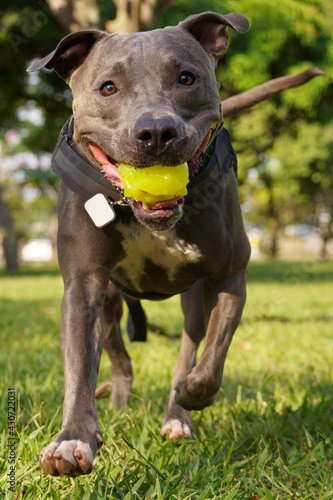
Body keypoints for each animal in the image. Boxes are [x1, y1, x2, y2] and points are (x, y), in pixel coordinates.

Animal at [28, 11, 252, 476]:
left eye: (186, 78)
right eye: (108, 87)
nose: (156, 131)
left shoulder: (230, 275)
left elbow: (211, 360)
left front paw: (189, 395)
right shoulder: (83, 284)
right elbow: (79, 366)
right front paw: (72, 438)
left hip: (193, 302)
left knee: (189, 345)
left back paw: (176, 416)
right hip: (111, 302)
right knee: (120, 357)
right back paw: (116, 406)